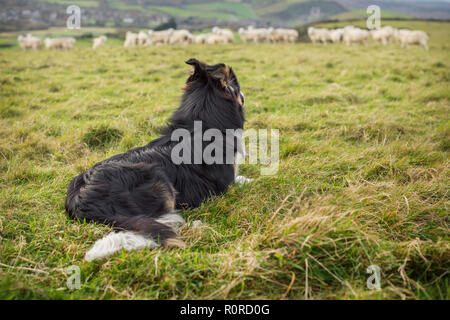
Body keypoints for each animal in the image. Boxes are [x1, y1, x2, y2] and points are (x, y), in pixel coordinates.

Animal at [65, 58, 251, 262]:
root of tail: (81, 198)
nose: (245, 93)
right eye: (236, 86)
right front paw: (248, 179)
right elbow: (239, 180)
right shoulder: (226, 186)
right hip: (159, 180)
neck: (199, 128)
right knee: (160, 221)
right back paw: (192, 223)